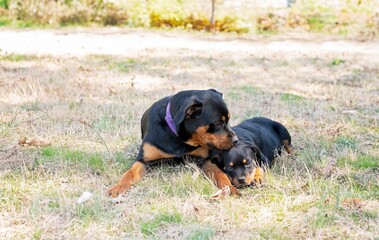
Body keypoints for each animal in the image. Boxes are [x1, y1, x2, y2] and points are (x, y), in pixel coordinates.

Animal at [107, 89, 239, 196]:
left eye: (228, 120)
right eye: (218, 122)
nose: (236, 140)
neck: (178, 137)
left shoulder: (205, 160)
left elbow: (220, 173)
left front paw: (229, 187)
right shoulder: (143, 160)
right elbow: (129, 173)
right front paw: (118, 186)